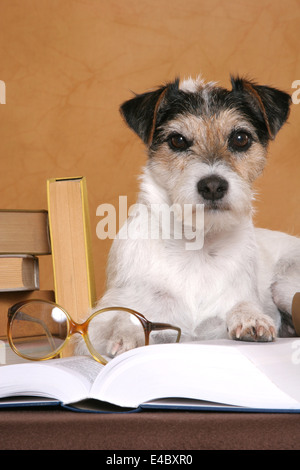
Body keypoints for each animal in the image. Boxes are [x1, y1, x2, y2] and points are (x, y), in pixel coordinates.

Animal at [78, 75, 300, 358]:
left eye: (240, 138)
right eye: (178, 140)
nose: (213, 186)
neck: (197, 245)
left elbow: (242, 304)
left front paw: (250, 317)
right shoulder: (103, 318)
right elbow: (120, 319)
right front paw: (127, 333)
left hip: (284, 283)